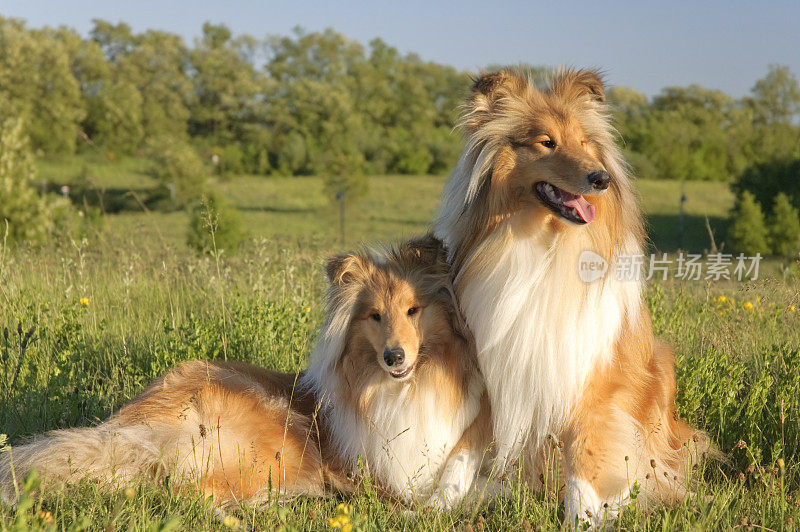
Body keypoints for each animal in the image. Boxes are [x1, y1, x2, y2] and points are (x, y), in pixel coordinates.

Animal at [0, 236, 490, 508]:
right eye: (374, 316)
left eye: (413, 310)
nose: (394, 357)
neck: (406, 389)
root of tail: (125, 426)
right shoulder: (376, 476)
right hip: (270, 439)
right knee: (187, 494)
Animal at [438, 68, 712, 524]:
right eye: (546, 142)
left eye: (585, 143)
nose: (601, 178)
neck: (546, 244)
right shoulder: (492, 369)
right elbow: (462, 453)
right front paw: (434, 507)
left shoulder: (592, 378)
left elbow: (584, 457)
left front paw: (582, 518)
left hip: (657, 370)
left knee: (650, 464)